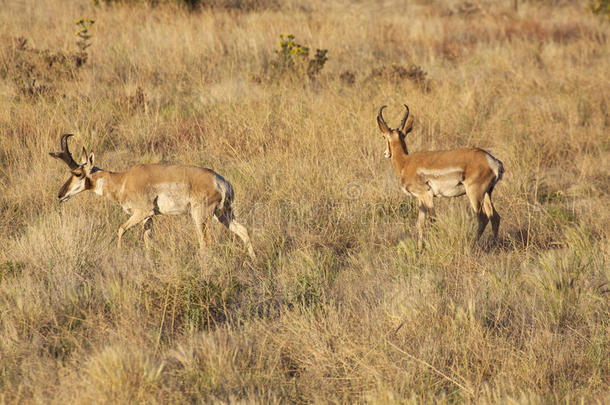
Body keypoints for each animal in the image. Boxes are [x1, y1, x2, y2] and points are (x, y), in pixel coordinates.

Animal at [49, 134, 254, 258]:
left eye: (77, 173)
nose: (60, 194)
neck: (124, 179)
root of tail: (221, 181)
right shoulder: (149, 218)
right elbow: (148, 239)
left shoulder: (141, 212)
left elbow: (120, 229)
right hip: (223, 214)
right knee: (243, 230)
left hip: (201, 216)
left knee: (205, 242)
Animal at [376, 104, 504, 249]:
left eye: (383, 136)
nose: (385, 153)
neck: (406, 162)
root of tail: (491, 160)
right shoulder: (420, 199)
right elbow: (420, 224)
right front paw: (419, 249)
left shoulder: (426, 195)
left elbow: (432, 221)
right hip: (487, 194)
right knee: (495, 217)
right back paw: (494, 244)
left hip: (474, 194)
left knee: (483, 217)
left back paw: (472, 244)